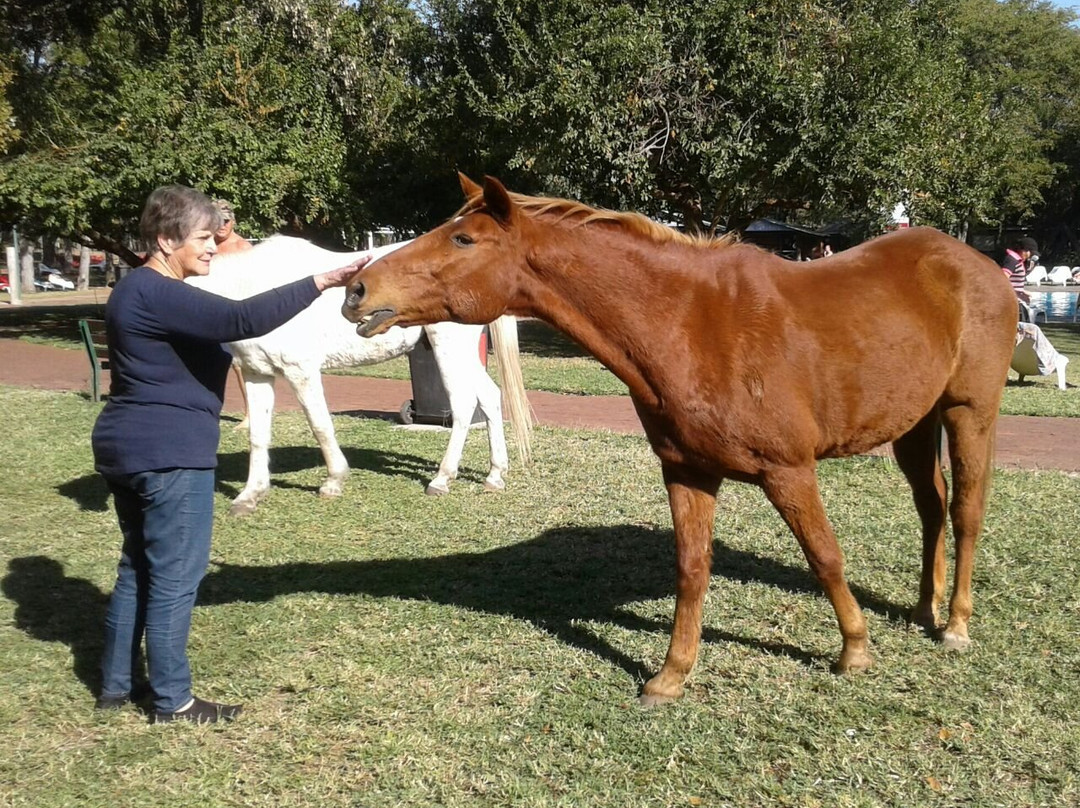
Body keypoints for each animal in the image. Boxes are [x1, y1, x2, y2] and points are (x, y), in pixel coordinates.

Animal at [193, 236, 535, 514]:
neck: (252, 290)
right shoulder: (257, 372)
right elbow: (258, 435)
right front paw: (249, 495)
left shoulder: (300, 371)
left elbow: (320, 426)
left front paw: (333, 482)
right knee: (489, 396)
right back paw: (494, 476)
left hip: (449, 346)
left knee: (464, 404)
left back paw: (441, 479)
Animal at [341, 173, 1015, 704]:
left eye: (463, 239)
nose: (356, 290)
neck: (689, 323)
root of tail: (976, 265)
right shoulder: (687, 469)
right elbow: (692, 568)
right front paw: (672, 675)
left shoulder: (789, 470)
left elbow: (825, 556)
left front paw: (854, 650)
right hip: (914, 424)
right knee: (931, 508)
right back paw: (924, 609)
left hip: (970, 414)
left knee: (966, 511)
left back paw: (955, 624)